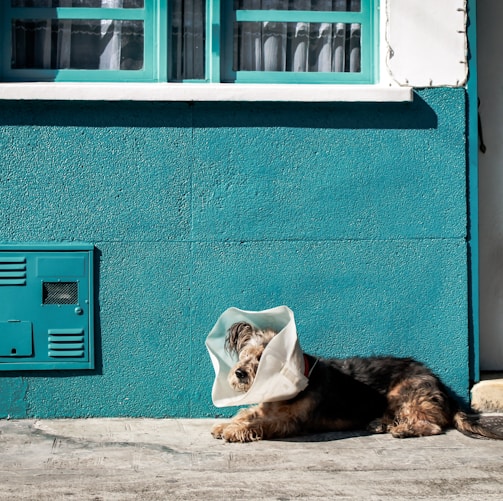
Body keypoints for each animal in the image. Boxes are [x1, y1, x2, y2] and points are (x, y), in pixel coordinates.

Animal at [213, 320, 503, 442]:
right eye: (246, 354)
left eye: (263, 358)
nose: (239, 372)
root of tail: (440, 384)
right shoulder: (266, 408)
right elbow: (247, 412)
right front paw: (226, 424)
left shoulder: (290, 422)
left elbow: (260, 423)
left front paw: (234, 431)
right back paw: (380, 424)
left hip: (403, 392)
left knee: (432, 426)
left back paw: (403, 429)